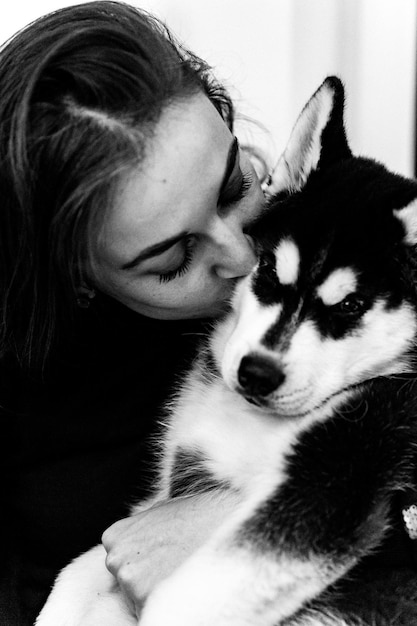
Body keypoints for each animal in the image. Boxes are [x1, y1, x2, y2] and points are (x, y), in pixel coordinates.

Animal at [35, 74, 416, 624]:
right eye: (268, 270)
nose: (257, 373)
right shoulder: (168, 489)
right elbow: (78, 570)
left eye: (351, 305)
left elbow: (187, 598)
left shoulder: (342, 470)